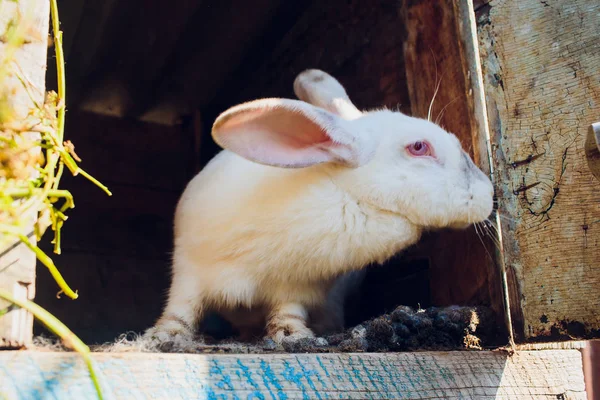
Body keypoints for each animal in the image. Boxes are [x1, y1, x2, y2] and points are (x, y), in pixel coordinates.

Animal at [144, 69, 492, 344]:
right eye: (419, 147)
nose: (488, 192)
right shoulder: (187, 267)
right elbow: (182, 306)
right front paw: (165, 335)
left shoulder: (294, 286)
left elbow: (288, 310)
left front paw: (292, 335)